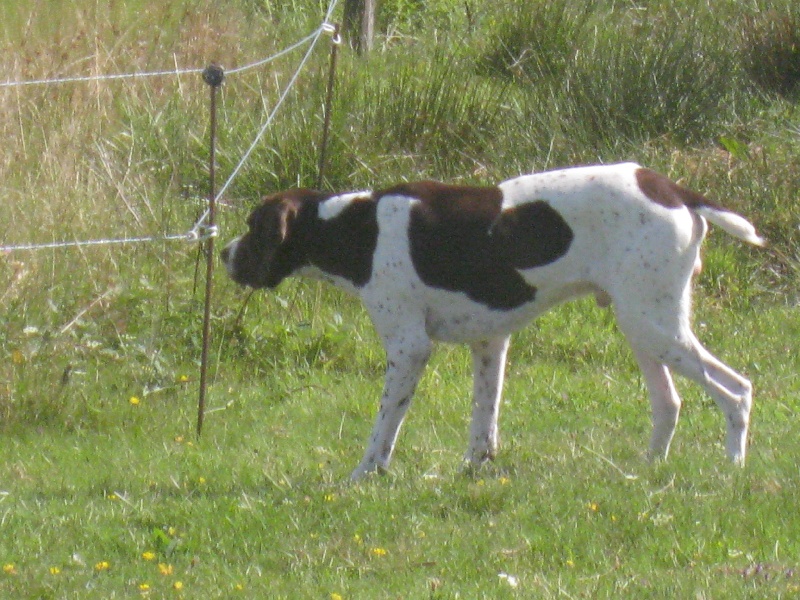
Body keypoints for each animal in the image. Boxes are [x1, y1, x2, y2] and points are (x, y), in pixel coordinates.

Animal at [220, 162, 764, 480]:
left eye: (253, 228)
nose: (224, 254)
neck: (357, 228)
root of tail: (675, 189)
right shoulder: (490, 343)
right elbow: (483, 422)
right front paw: (474, 470)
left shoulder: (408, 348)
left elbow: (384, 425)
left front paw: (365, 474)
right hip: (642, 327)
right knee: (669, 402)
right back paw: (646, 470)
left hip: (653, 325)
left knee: (735, 390)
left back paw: (733, 468)